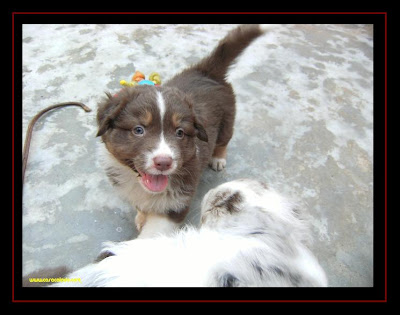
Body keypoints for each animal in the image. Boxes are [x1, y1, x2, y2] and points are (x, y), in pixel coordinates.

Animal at [95, 24, 268, 237]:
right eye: (138, 130)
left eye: (180, 132)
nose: (163, 162)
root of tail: (205, 71)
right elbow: (142, 206)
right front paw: (141, 216)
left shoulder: (177, 203)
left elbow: (153, 233)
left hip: (227, 121)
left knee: (223, 141)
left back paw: (218, 158)